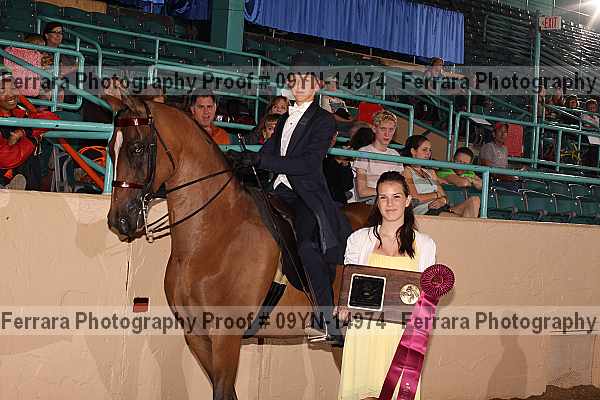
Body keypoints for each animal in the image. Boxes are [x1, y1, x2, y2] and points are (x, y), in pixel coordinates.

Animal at [106, 94, 369, 400]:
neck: (213, 237)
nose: (119, 219)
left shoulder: (226, 336)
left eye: (137, 148)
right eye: (111, 149)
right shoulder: (197, 335)